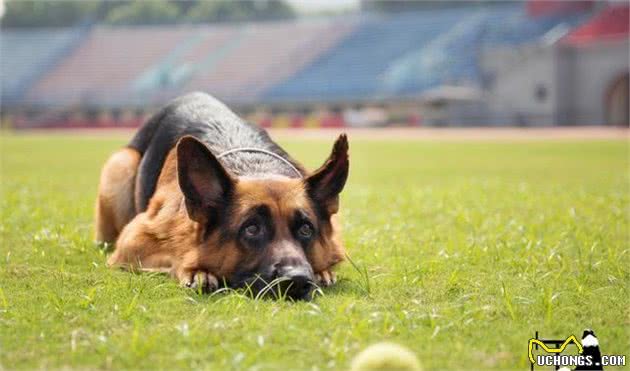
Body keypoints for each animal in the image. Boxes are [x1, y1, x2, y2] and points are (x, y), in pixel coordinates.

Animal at [94, 91, 350, 300]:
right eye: (251, 229)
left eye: (306, 229)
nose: (297, 280)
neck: (254, 167)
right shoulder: (132, 243)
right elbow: (177, 254)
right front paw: (197, 270)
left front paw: (323, 271)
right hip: (120, 165)